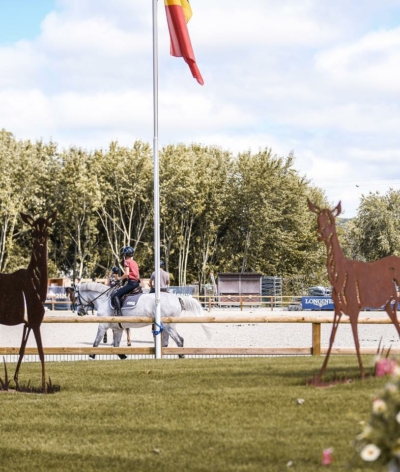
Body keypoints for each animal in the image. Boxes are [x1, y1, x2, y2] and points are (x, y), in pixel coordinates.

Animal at [74, 280, 209, 358]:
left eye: (75, 297)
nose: (79, 312)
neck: (104, 299)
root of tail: (176, 297)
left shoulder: (103, 326)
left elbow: (96, 343)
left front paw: (91, 356)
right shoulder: (118, 329)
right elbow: (116, 347)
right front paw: (123, 357)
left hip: (169, 326)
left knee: (179, 340)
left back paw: (181, 356)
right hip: (166, 326)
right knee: (168, 343)